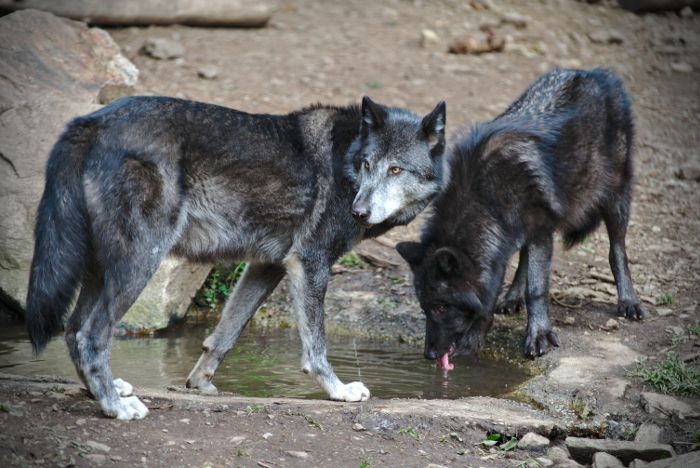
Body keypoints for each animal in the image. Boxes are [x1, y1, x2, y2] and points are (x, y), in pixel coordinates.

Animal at [27, 96, 448, 420]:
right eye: (367, 165)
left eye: (395, 169)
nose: (359, 211)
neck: (345, 157)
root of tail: (91, 121)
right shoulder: (309, 263)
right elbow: (316, 345)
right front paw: (339, 391)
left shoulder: (269, 266)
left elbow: (225, 335)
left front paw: (199, 383)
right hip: (140, 263)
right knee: (91, 333)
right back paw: (115, 407)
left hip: (102, 270)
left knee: (72, 330)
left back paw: (103, 392)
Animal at [396, 68, 644, 370]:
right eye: (424, 307)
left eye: (441, 307)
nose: (429, 354)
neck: (483, 194)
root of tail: (595, 72)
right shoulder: (500, 240)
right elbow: (490, 295)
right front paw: (474, 340)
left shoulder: (539, 231)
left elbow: (536, 288)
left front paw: (538, 335)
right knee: (523, 260)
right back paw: (512, 297)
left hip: (615, 195)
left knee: (617, 250)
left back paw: (628, 300)